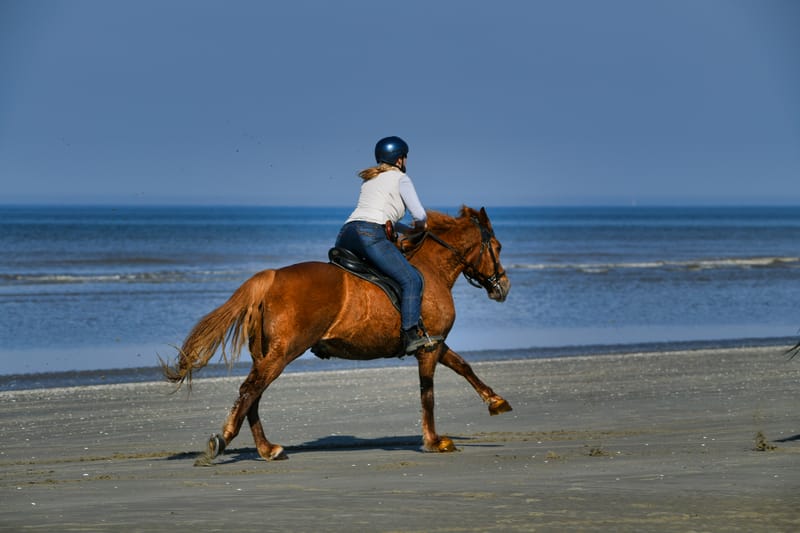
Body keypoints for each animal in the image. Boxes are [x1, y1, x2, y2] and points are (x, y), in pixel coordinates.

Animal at [162, 205, 512, 463]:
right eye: (496, 247)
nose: (504, 286)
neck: (431, 268)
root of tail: (271, 277)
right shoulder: (428, 348)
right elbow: (428, 394)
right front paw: (434, 440)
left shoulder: (435, 343)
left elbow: (463, 366)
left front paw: (496, 401)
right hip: (282, 353)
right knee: (250, 392)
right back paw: (224, 440)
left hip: (266, 355)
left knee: (253, 396)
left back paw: (267, 448)